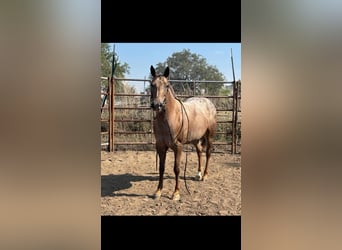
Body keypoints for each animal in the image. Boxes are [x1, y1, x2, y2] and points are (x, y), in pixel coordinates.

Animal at [150, 65, 216, 200]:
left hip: (209, 136)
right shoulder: (160, 146)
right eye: (152, 85)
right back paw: (198, 174)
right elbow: (161, 168)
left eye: (167, 85)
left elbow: (177, 169)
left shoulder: (178, 147)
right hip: (195, 139)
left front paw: (176, 193)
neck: (170, 117)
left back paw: (205, 175)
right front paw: (158, 191)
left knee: (208, 153)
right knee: (199, 152)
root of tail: (209, 102)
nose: (157, 105)